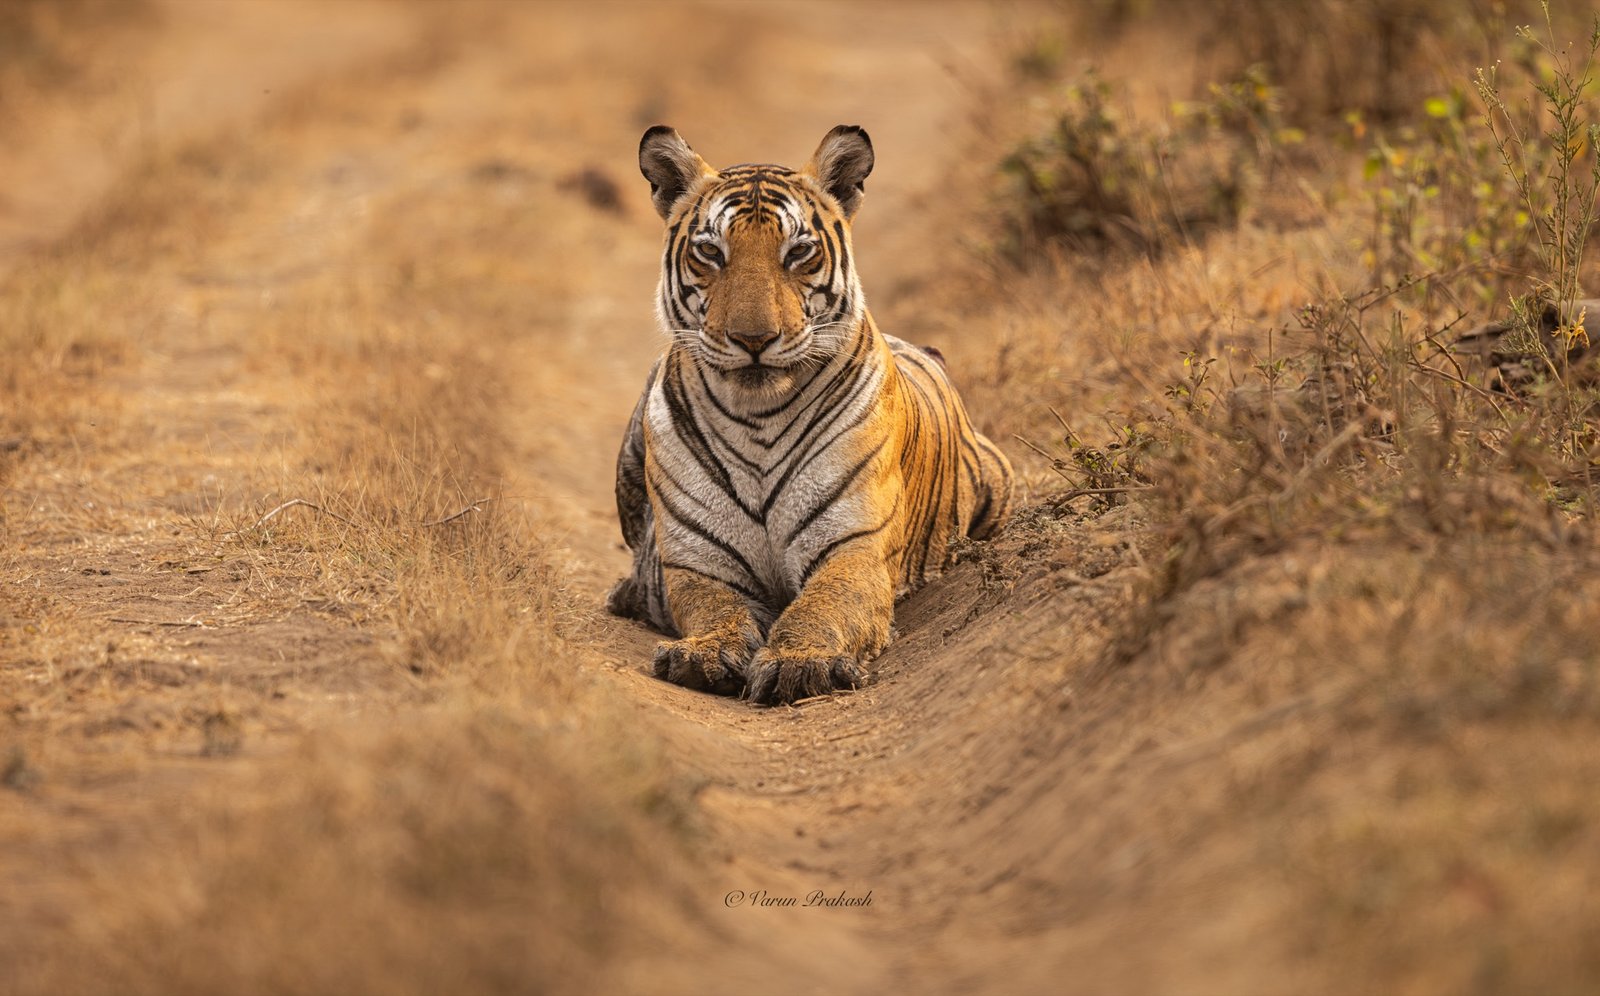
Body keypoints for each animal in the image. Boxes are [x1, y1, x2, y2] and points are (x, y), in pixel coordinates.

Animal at [606, 124, 1013, 706]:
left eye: (798, 252)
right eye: (710, 251)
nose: (753, 339)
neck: (757, 417)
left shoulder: (853, 547)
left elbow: (822, 606)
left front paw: (800, 663)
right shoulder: (698, 561)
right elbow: (716, 609)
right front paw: (704, 653)